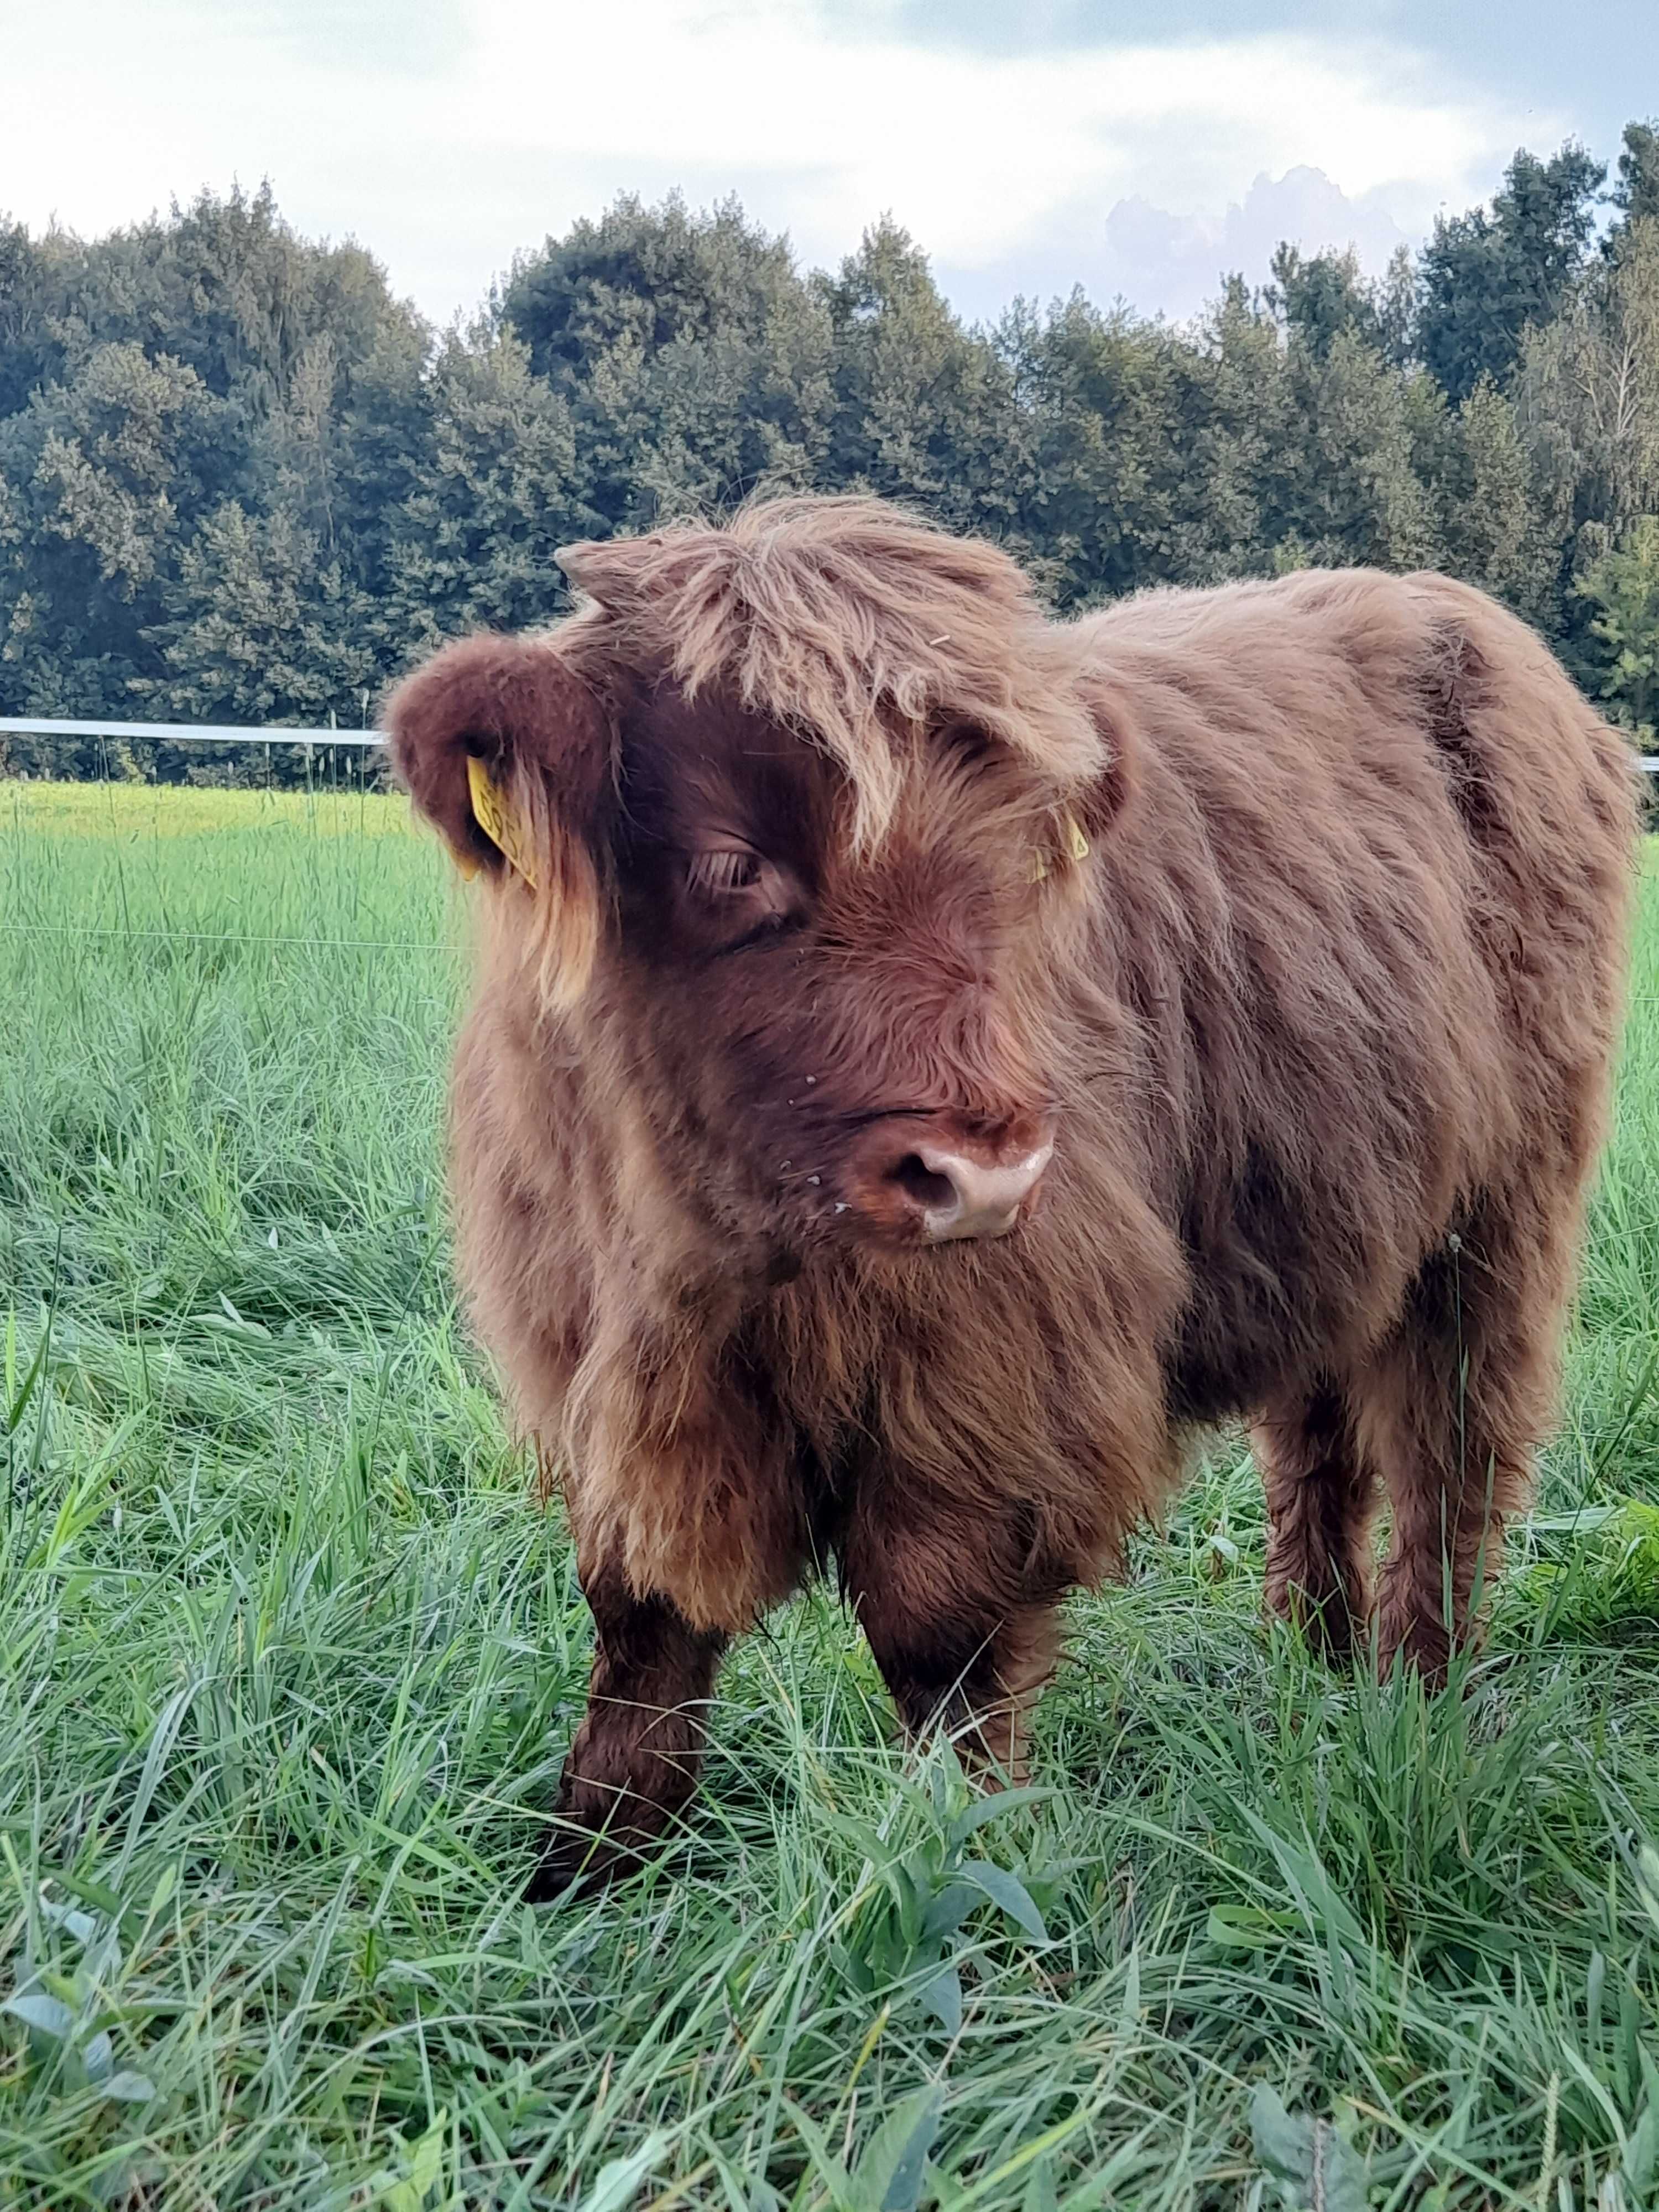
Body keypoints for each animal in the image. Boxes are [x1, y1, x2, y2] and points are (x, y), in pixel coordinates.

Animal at [387, 493, 1637, 1893]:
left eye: (1015, 860)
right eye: (731, 861)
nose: (981, 1174)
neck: (711, 1255)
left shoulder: (1002, 1383)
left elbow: (937, 1635)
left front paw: (965, 1867)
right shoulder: (605, 1372)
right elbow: (641, 1623)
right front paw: (590, 1863)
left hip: (1501, 1208)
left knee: (1451, 1448)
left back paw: (1417, 1703)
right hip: (1333, 1190)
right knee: (1316, 1433)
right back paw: (1308, 1660)